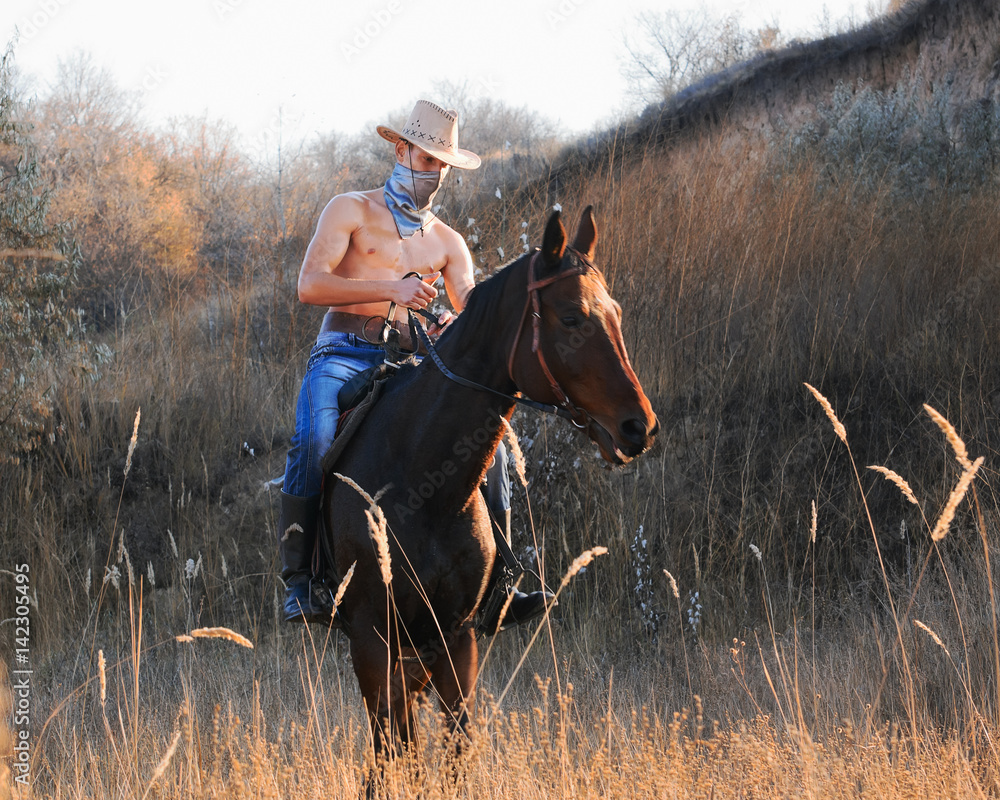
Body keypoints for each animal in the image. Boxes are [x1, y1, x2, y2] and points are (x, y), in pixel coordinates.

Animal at [320, 205, 660, 768]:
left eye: (613, 312)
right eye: (572, 317)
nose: (640, 427)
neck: (422, 482)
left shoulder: (456, 637)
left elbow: (454, 750)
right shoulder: (371, 638)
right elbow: (395, 752)